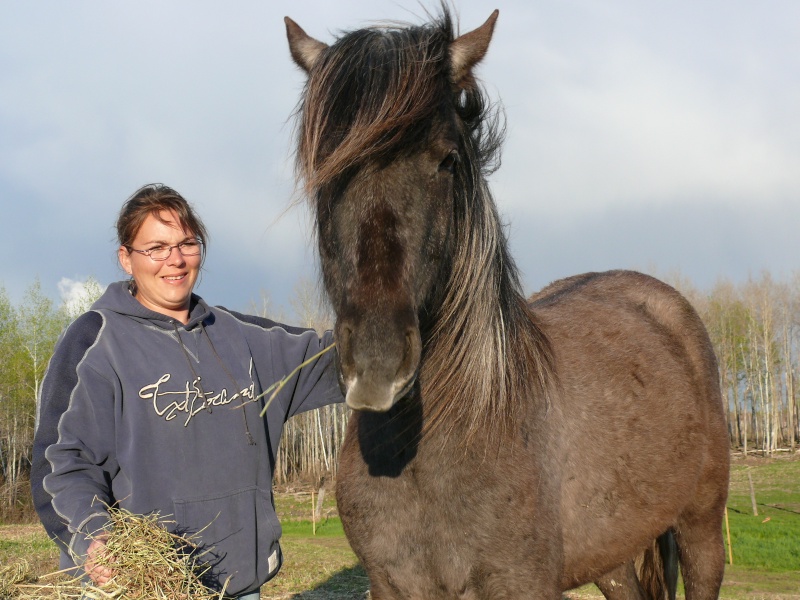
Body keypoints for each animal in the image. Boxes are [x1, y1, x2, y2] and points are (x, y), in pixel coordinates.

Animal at [284, 8, 728, 600]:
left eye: (448, 160)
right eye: (323, 168)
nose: (377, 366)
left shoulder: (524, 583)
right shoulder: (392, 584)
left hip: (702, 529)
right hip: (612, 554)